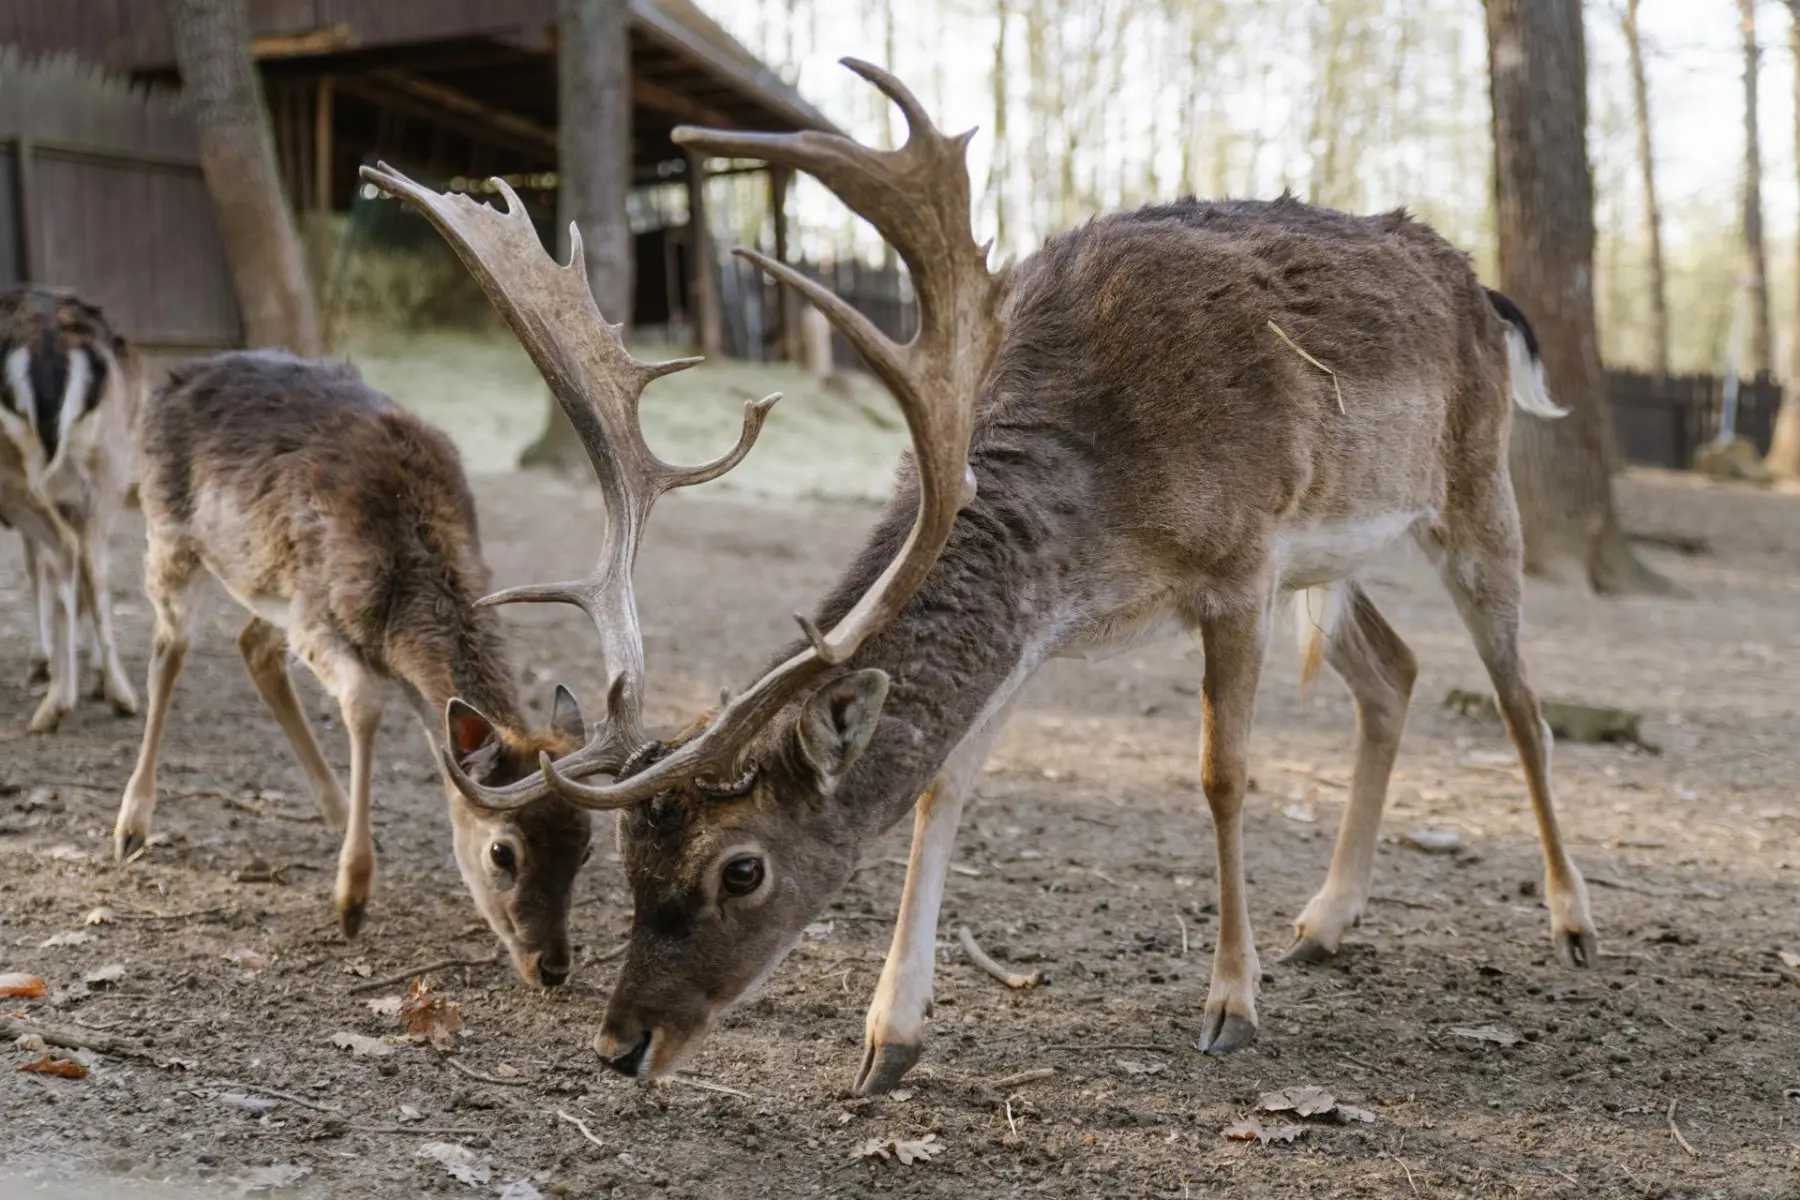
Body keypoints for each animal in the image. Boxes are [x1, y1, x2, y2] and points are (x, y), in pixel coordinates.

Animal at [0, 286, 141, 733]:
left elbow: (34, 566)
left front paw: (39, 662)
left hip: (16, 475)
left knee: (62, 550)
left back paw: (55, 704)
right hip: (107, 467)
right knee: (94, 562)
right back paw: (119, 694)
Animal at [107, 350, 715, 986]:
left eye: (587, 848)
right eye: (502, 851)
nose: (552, 966)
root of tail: (184, 369)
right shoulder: (314, 613)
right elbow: (364, 706)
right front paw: (351, 900)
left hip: (261, 584)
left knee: (253, 647)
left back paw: (335, 811)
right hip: (171, 536)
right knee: (170, 647)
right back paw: (131, 825)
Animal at [361, 59, 1597, 1092]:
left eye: (741, 870)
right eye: (626, 857)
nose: (622, 1045)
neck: (1108, 500)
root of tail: (1488, 293)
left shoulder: (1240, 567)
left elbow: (1223, 776)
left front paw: (1230, 1005)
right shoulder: (1050, 625)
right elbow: (942, 784)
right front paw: (886, 1040)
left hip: (1473, 489)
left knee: (1519, 696)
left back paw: (1572, 921)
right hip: (1333, 566)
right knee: (1395, 670)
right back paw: (1328, 919)